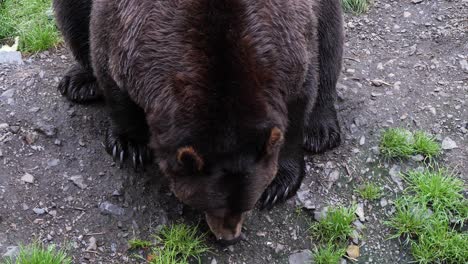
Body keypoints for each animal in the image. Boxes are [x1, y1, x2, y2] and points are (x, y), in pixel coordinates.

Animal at [54, 0, 344, 243]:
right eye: (209, 204)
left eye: (247, 205)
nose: (228, 238)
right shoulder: (125, 32)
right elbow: (107, 69)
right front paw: (130, 146)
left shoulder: (286, 45)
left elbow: (303, 94)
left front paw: (279, 183)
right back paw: (80, 82)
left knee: (330, 38)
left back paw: (320, 131)